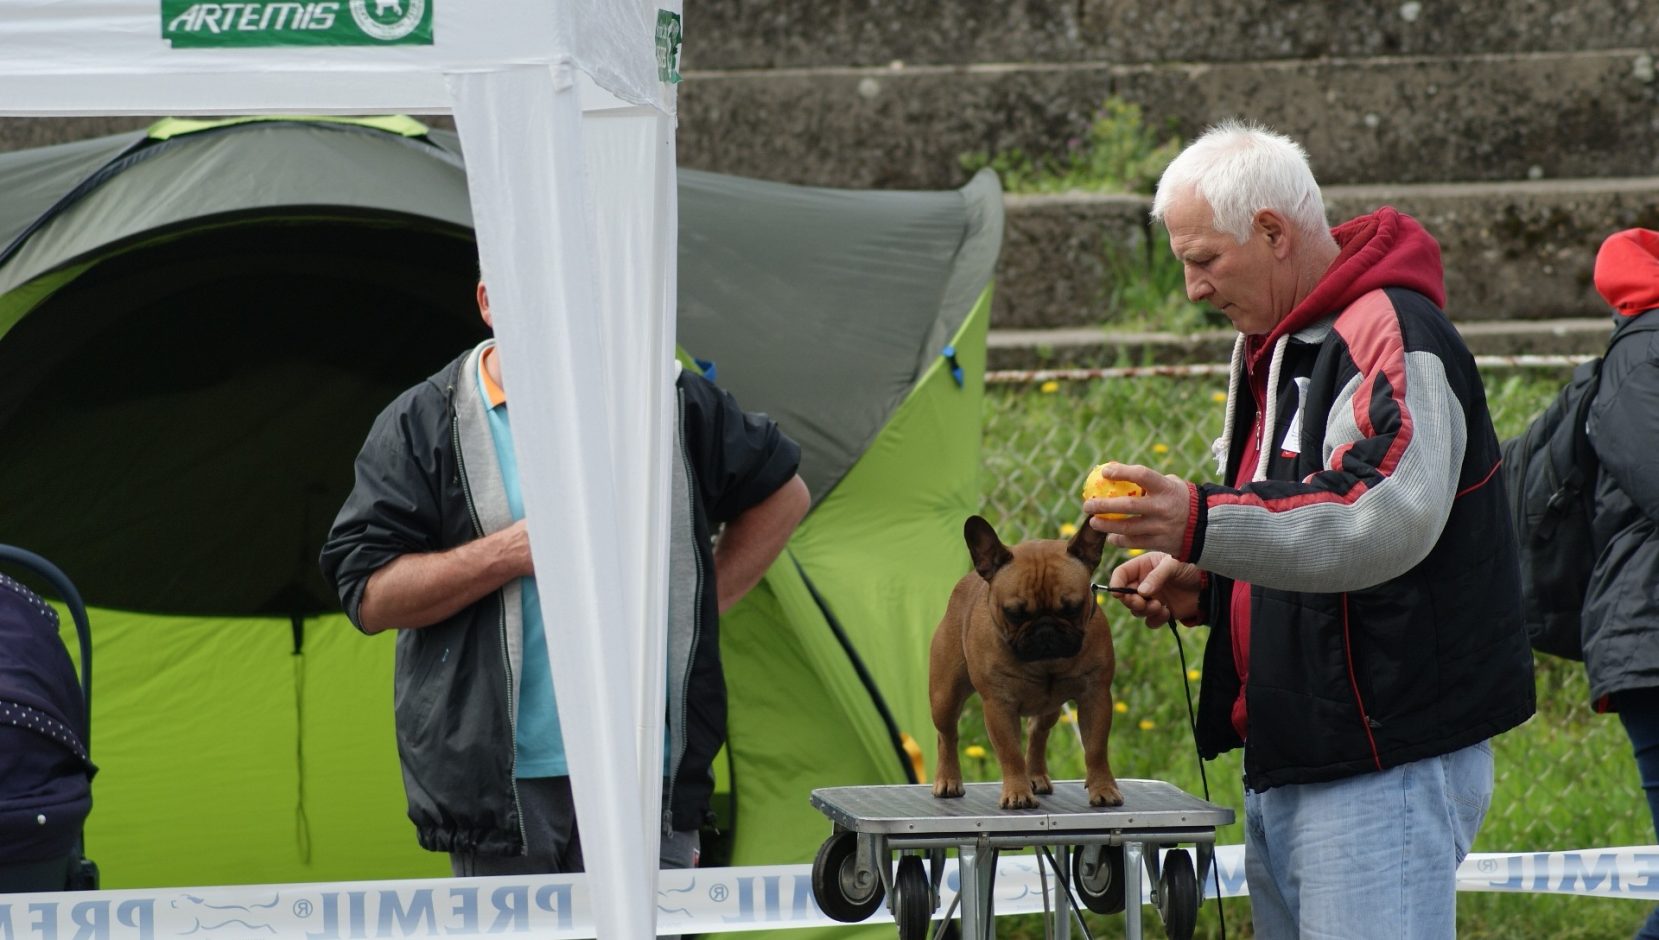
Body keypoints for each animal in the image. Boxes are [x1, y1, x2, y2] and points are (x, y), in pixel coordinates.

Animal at [929, 515, 1123, 809]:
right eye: (1014, 613)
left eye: (1073, 608)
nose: (1045, 629)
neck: (1045, 663)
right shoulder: (999, 705)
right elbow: (1010, 753)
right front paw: (1017, 793)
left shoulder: (1095, 697)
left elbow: (1096, 749)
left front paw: (1103, 788)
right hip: (945, 696)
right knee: (947, 735)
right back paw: (948, 780)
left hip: (1051, 708)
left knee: (1037, 733)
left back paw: (1036, 777)